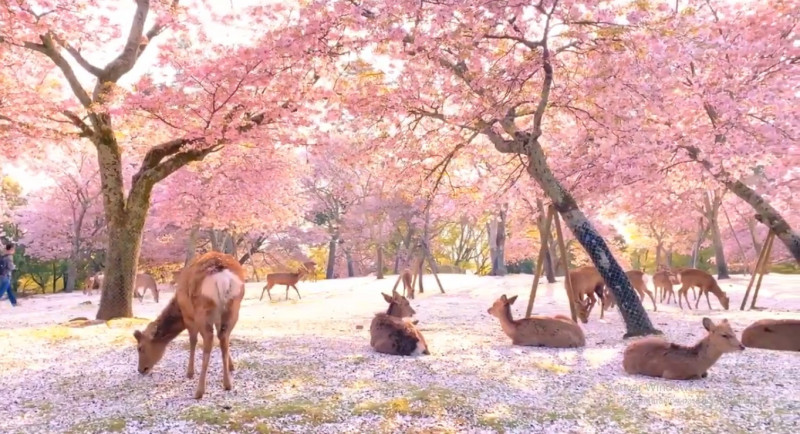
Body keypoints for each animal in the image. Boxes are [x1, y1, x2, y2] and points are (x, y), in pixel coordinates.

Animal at [133, 251, 245, 400]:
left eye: (140, 348)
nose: (141, 369)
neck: (179, 308)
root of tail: (222, 275)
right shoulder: (217, 318)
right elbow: (222, 341)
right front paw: (232, 366)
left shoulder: (189, 318)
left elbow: (192, 341)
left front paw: (189, 373)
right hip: (234, 307)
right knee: (224, 336)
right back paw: (228, 384)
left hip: (202, 310)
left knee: (208, 340)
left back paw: (199, 391)